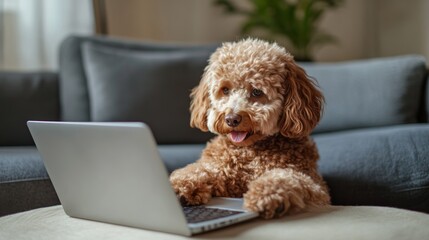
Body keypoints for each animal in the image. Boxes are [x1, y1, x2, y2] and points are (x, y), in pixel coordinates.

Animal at [169, 38, 330, 219]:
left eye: (257, 92)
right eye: (225, 90)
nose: (231, 119)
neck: (249, 153)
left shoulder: (317, 188)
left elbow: (287, 177)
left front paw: (267, 194)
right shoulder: (219, 169)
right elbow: (200, 169)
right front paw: (180, 185)